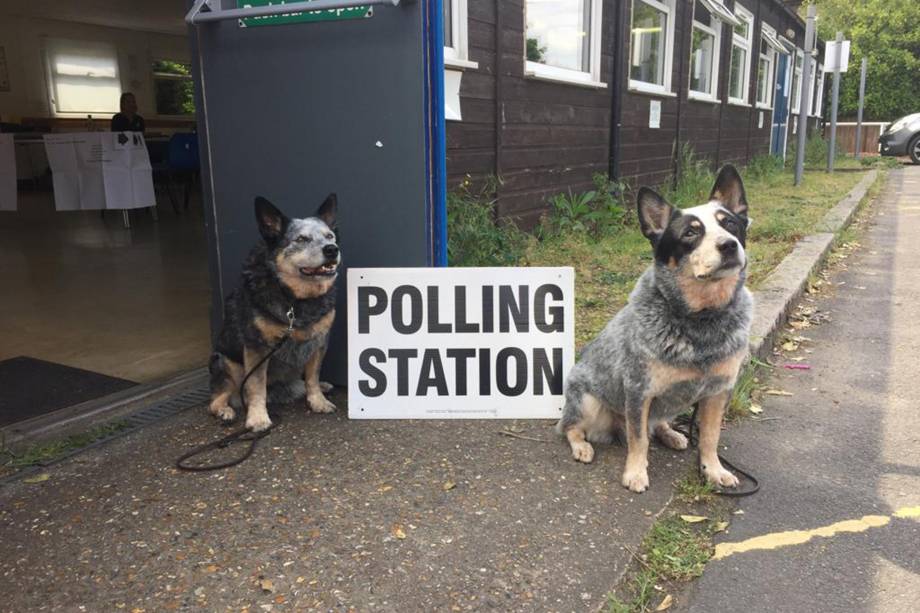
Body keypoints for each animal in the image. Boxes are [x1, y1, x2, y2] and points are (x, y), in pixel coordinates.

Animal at [208, 195, 342, 430]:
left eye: (329, 236)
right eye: (301, 239)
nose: (332, 249)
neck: (294, 300)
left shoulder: (319, 341)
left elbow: (313, 376)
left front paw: (318, 401)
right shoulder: (257, 348)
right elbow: (256, 386)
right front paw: (258, 418)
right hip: (226, 363)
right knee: (217, 398)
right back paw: (225, 410)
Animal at [556, 166, 752, 492]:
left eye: (731, 224)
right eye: (690, 233)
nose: (728, 245)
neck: (701, 320)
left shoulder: (718, 391)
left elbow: (710, 438)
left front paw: (713, 469)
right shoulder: (638, 390)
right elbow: (638, 441)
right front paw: (635, 473)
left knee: (656, 423)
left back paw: (670, 433)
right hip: (587, 402)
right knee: (571, 427)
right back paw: (582, 446)